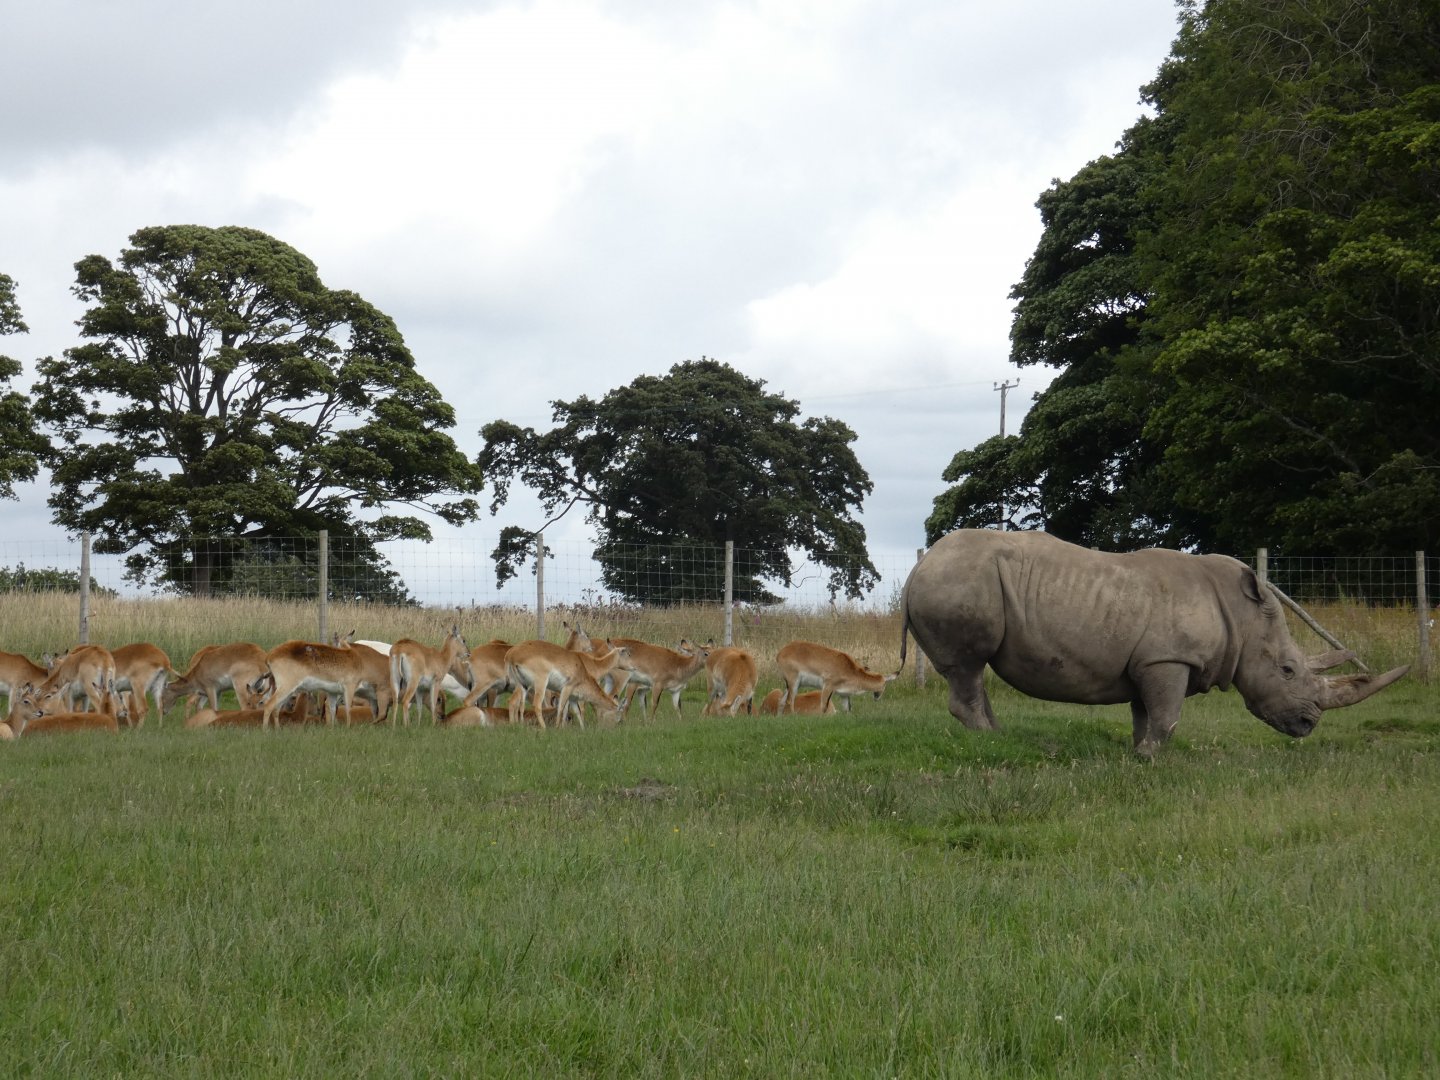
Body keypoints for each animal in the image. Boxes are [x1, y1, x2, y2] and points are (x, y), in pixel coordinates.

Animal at [899, 529, 1409, 756]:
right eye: (1287, 670)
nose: (1308, 725)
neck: (1243, 619)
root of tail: (918, 567)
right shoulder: (1170, 658)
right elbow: (1167, 714)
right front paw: (1150, 758)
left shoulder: (1150, 661)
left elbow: (1145, 712)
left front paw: (1137, 751)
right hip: (959, 580)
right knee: (968, 666)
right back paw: (990, 744)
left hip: (958, 578)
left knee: (974, 672)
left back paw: (1001, 738)